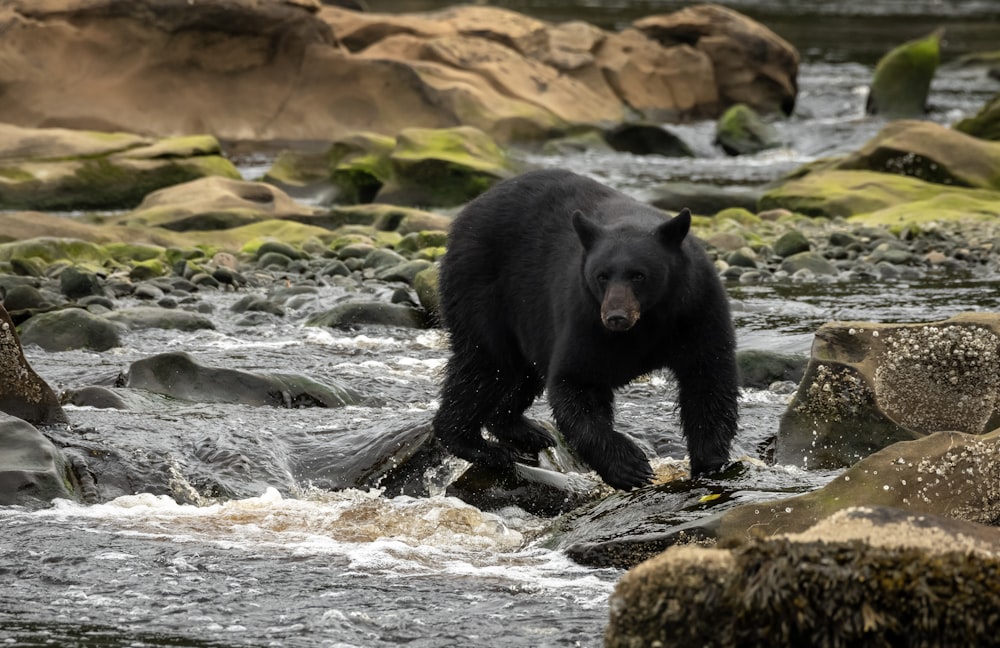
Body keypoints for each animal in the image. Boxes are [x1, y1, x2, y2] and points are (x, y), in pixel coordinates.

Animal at [434, 170, 740, 488]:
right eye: (601, 275)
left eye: (639, 275)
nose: (616, 316)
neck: (647, 322)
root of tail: (468, 209)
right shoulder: (586, 319)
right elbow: (577, 381)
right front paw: (629, 466)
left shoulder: (696, 310)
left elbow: (707, 380)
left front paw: (711, 462)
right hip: (480, 290)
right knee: (486, 366)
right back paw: (478, 446)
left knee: (519, 373)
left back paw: (523, 430)